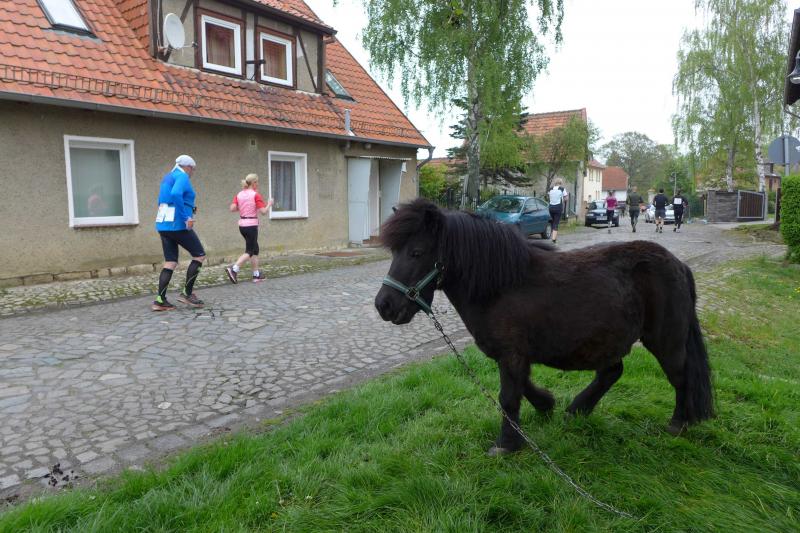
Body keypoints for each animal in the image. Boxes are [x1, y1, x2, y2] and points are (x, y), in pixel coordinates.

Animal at [374, 199, 714, 455]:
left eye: (417, 252)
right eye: (394, 252)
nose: (384, 305)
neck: (501, 285)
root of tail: (679, 265)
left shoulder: (511, 354)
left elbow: (508, 397)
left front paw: (507, 444)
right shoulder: (512, 355)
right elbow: (522, 387)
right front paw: (545, 406)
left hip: (665, 341)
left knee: (680, 377)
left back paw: (677, 424)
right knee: (612, 372)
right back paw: (578, 410)